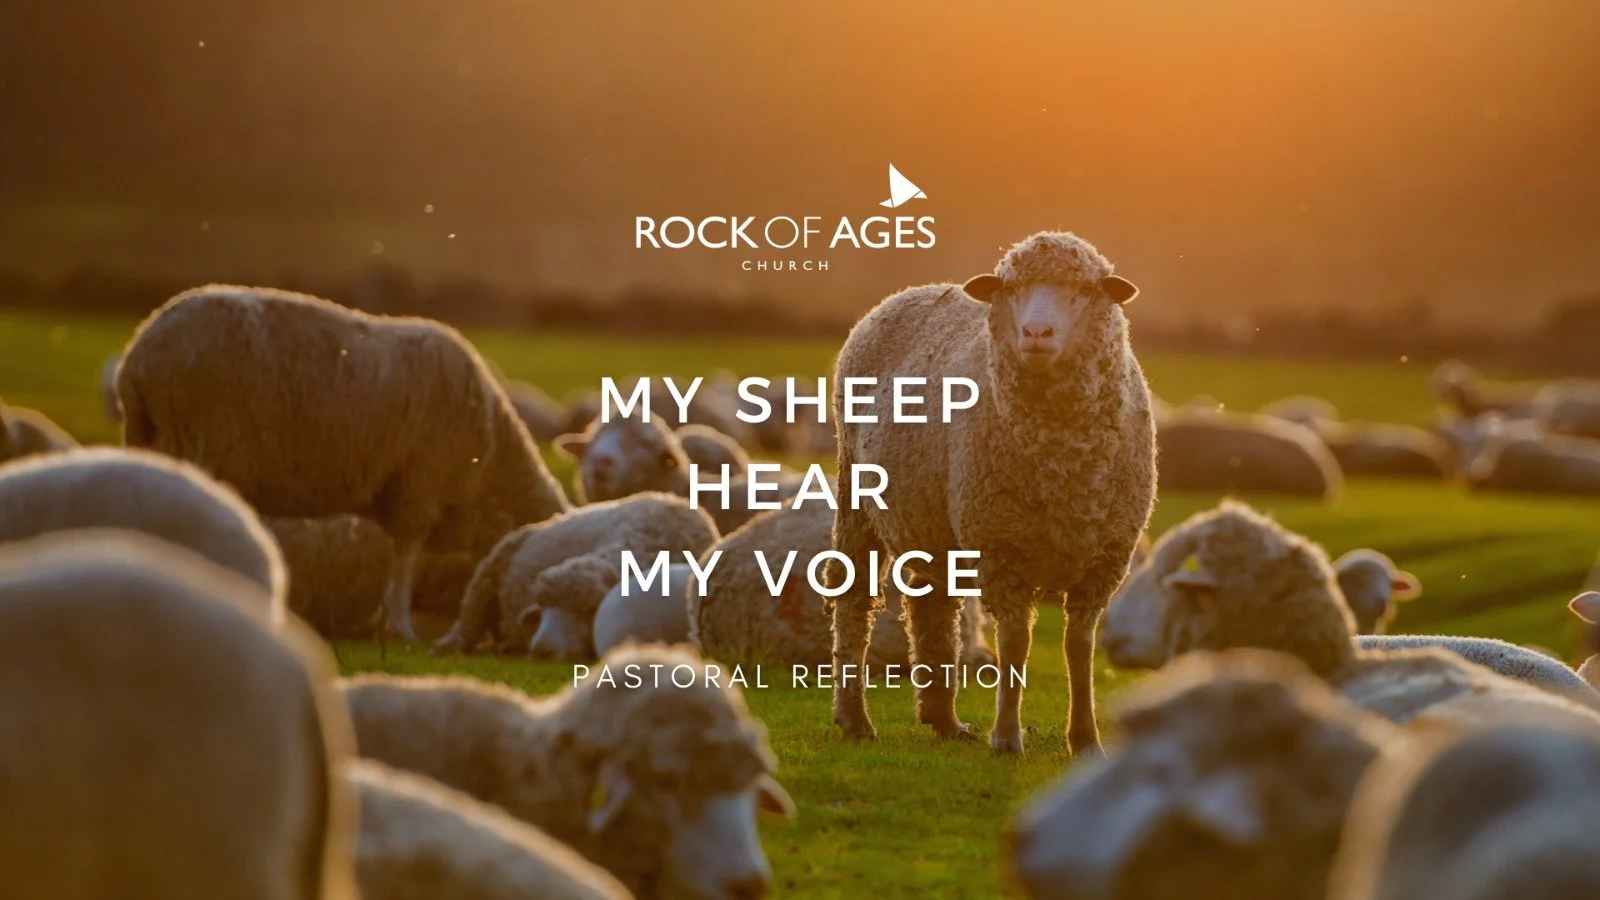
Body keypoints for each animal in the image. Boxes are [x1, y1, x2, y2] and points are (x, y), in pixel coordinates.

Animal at [116, 284, 570, 643]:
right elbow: (406, 559)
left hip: (149, 440)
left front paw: (380, 621)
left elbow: (396, 556)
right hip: (200, 440)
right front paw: (400, 626)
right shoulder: (420, 484)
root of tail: (139, 356)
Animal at [828, 230, 1156, 755]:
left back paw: (943, 719)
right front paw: (1005, 737)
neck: (1061, 457)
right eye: (1011, 288)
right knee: (854, 597)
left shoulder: (1102, 561)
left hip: (933, 520)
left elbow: (1079, 647)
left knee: (933, 606)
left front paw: (1085, 738)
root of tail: (906, 293)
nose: (1037, 333)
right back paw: (854, 718)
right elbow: (1015, 643)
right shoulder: (1003, 548)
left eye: (1085, 290)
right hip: (858, 497)